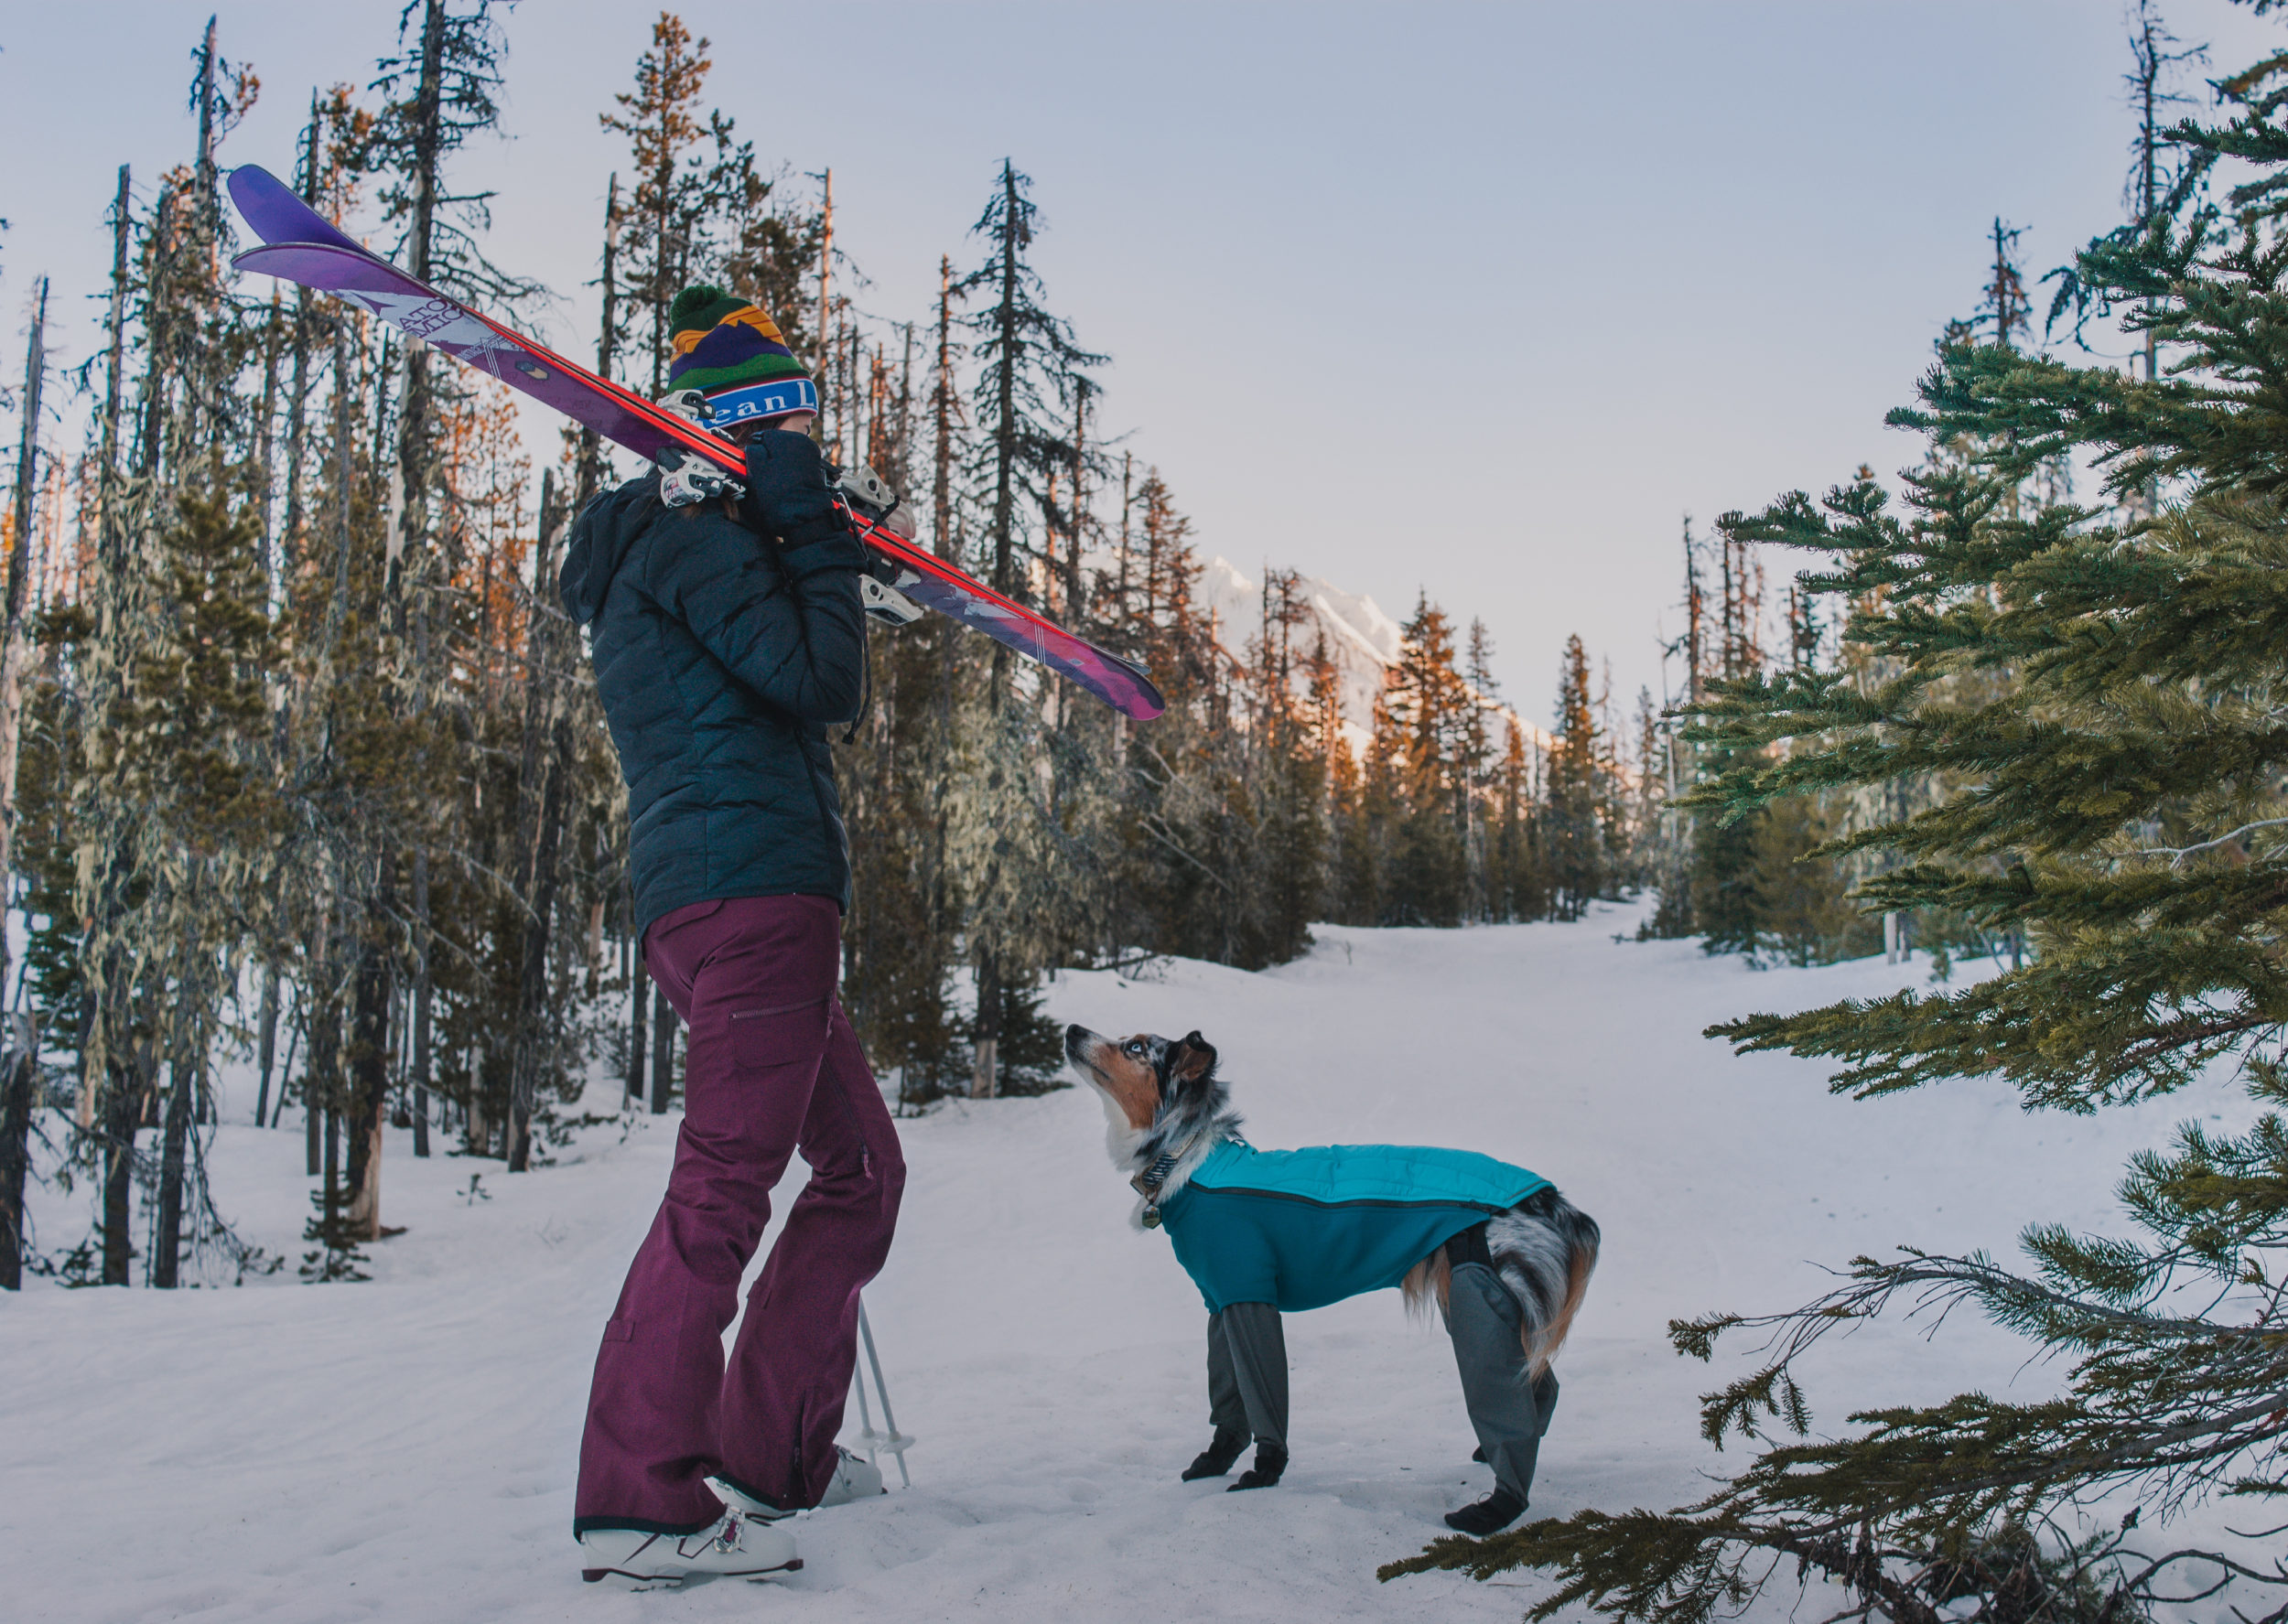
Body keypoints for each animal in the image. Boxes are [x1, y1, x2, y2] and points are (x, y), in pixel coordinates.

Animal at [1062, 1025, 1602, 1537]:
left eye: (1134, 1046)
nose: (1071, 1030)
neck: (1185, 1160)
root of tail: (1556, 1201)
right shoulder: (1221, 1300)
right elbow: (1227, 1396)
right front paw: (1214, 1460)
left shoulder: (1249, 1296)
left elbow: (1262, 1398)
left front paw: (1263, 1473)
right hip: (1482, 1300)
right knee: (1541, 1385)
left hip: (1479, 1295)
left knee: (1509, 1401)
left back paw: (1496, 1507)